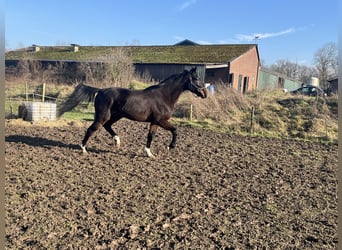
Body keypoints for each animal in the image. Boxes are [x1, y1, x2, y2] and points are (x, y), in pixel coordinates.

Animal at [58, 66, 207, 156]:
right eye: (196, 78)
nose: (205, 94)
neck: (164, 95)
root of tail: (100, 90)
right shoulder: (161, 120)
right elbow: (175, 130)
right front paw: (171, 146)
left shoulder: (154, 122)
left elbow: (150, 136)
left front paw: (149, 153)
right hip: (102, 117)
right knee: (91, 129)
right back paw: (84, 149)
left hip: (116, 116)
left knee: (107, 126)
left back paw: (117, 141)